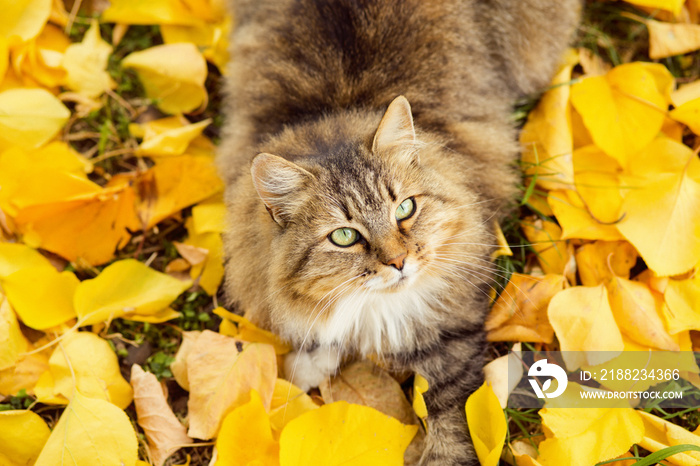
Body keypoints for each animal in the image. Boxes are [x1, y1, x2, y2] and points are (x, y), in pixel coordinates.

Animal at [219, 1, 580, 464]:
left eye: (405, 209)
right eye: (344, 236)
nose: (399, 262)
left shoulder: (451, 332)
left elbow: (452, 421)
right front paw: (309, 363)